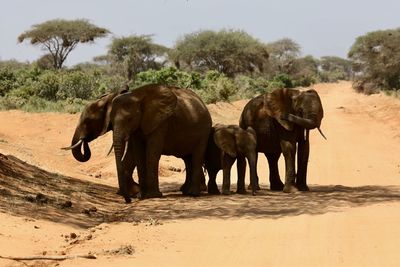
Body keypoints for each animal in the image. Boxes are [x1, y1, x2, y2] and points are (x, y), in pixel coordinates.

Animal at [64, 84, 212, 203]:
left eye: (88, 121)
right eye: (111, 120)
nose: (128, 201)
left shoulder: (160, 122)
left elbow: (149, 154)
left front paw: (150, 195)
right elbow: (137, 154)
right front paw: (139, 194)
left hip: (203, 131)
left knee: (196, 156)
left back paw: (193, 193)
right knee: (188, 159)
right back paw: (187, 190)